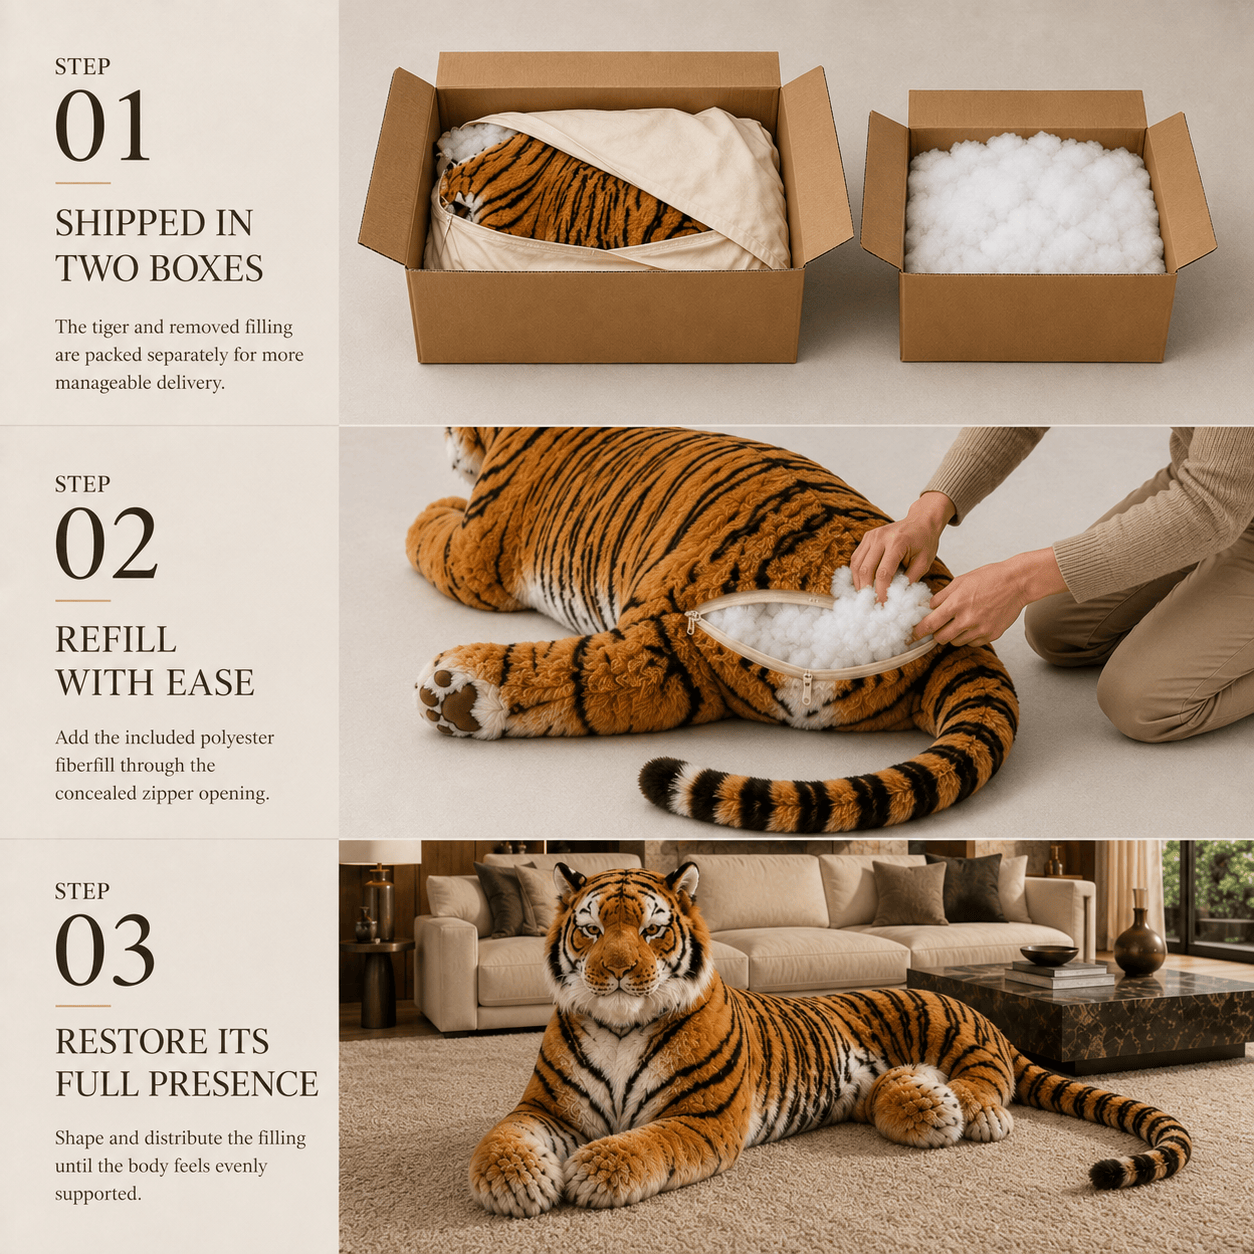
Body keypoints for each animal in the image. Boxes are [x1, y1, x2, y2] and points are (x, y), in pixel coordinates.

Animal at [409, 426, 1019, 833]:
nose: (445, 444)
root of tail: (953, 632)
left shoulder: (475, 553)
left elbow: (428, 535)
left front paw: (435, 505)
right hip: (698, 667)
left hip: (675, 618)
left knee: (608, 670)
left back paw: (457, 691)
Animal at [470, 864, 1192, 1216]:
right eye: (591, 929)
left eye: (651, 929)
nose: (617, 973)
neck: (619, 1025)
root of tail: (978, 1007)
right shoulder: (546, 1108)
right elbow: (503, 1137)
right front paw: (512, 1184)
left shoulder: (702, 1117)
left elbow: (646, 1143)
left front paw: (594, 1170)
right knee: (911, 1094)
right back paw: (923, 1099)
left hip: (950, 1029)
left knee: (991, 1076)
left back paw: (973, 1110)